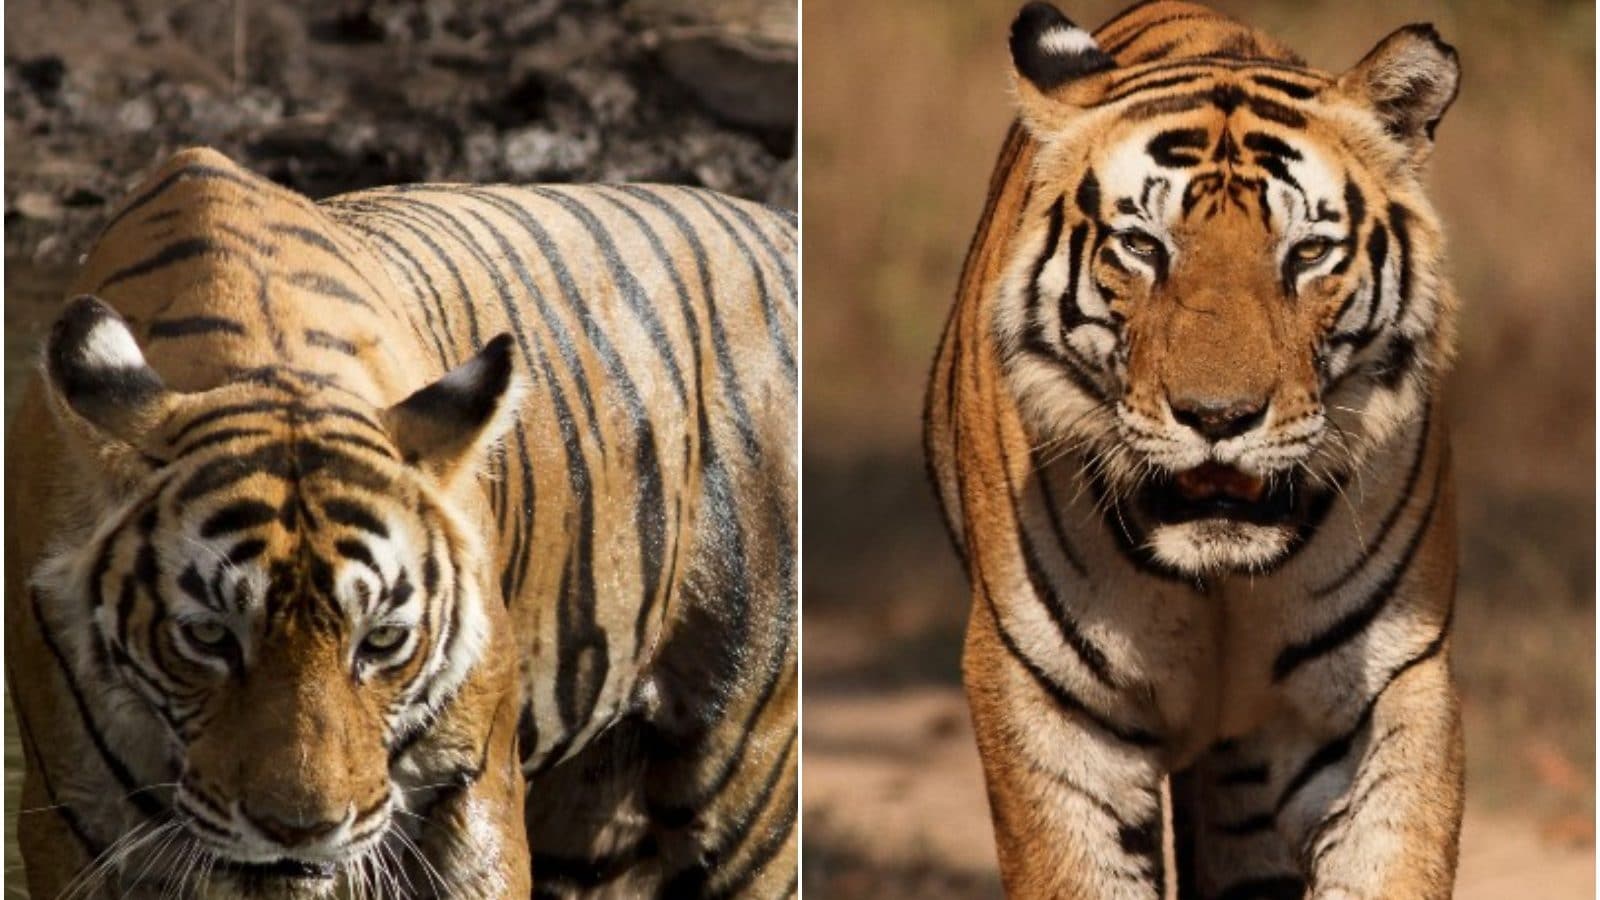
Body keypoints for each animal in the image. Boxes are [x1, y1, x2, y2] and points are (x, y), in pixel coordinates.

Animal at [6, 146, 797, 899]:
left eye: (382, 641)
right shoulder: (81, 824)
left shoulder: (468, 804)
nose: (300, 832)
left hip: (747, 781)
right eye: (207, 636)